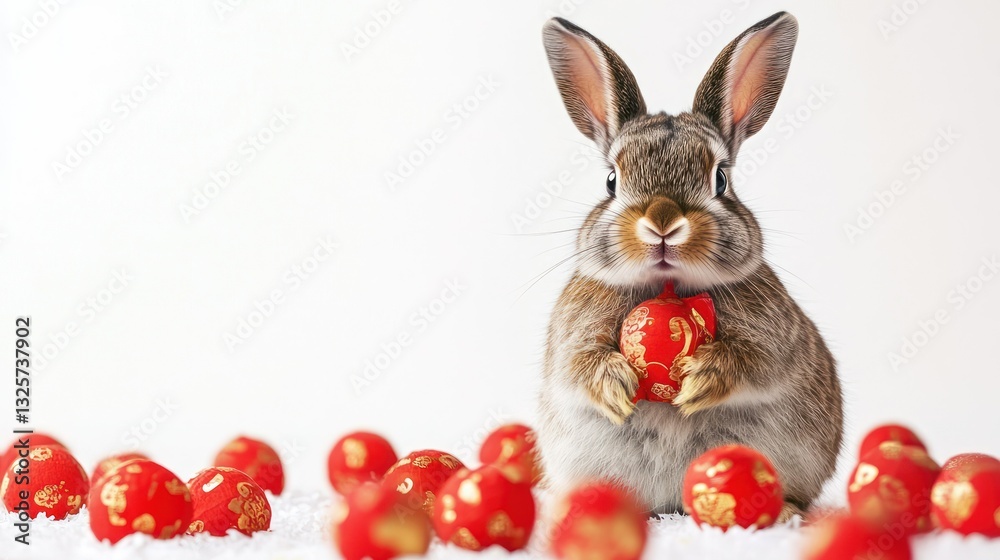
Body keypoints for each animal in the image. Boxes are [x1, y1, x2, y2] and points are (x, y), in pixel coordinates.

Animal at [536, 12, 843, 520]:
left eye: (721, 180)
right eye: (611, 180)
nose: (662, 222)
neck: (669, 286)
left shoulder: (773, 341)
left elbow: (754, 361)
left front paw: (699, 382)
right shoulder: (570, 340)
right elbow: (579, 366)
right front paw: (617, 387)